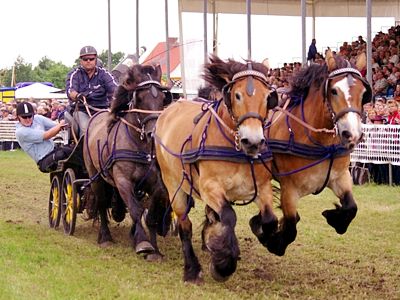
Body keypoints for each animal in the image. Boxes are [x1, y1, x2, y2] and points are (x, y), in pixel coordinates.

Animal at [83, 63, 172, 260]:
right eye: (139, 97)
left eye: (163, 98)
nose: (153, 133)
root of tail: (94, 116)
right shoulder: (123, 181)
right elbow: (136, 211)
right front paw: (143, 244)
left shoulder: (156, 184)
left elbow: (150, 216)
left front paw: (154, 250)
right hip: (95, 176)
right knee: (102, 204)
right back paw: (105, 237)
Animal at [154, 55, 278, 282]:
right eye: (237, 95)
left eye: (268, 98)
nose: (253, 141)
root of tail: (170, 108)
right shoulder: (209, 187)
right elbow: (229, 216)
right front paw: (223, 264)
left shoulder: (261, 187)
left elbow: (269, 219)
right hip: (173, 183)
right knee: (185, 225)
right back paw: (192, 268)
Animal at [260, 50, 372, 256]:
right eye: (334, 91)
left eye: (363, 93)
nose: (352, 134)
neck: (320, 142)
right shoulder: (289, 188)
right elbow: (290, 226)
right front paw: (273, 242)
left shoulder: (340, 177)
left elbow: (351, 207)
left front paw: (334, 216)